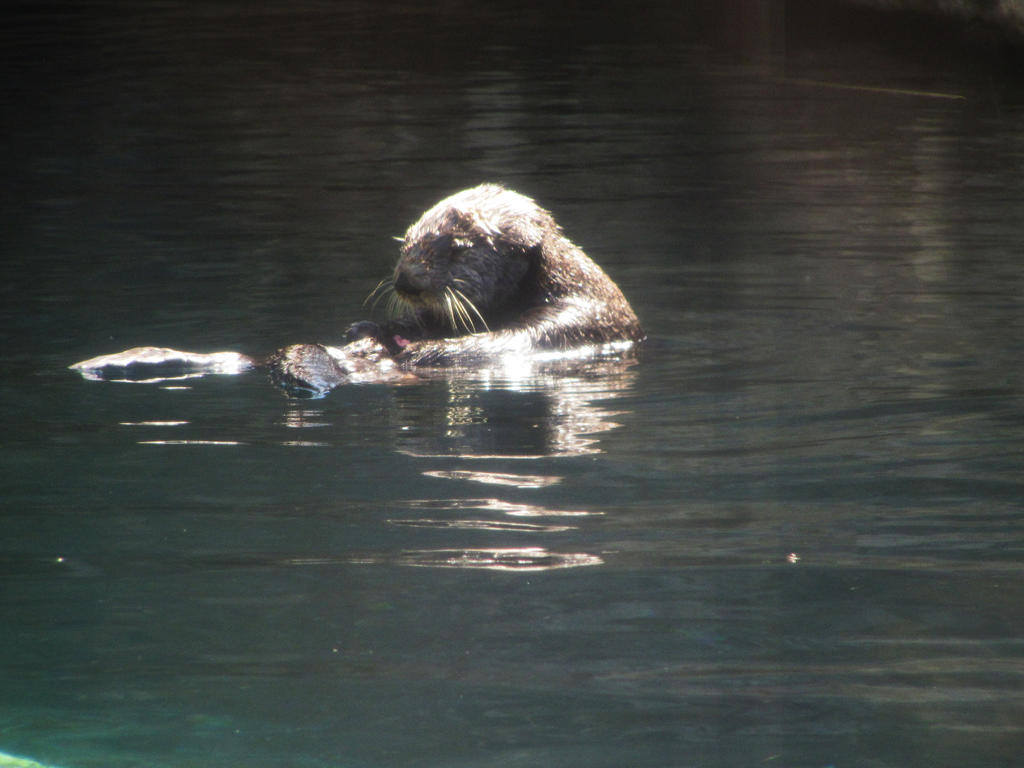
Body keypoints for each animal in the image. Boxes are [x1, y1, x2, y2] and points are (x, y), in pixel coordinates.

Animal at [72, 185, 643, 397]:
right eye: (407, 241)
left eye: (457, 248)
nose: (405, 281)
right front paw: (379, 326)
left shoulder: (573, 317)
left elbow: (500, 341)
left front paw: (421, 347)